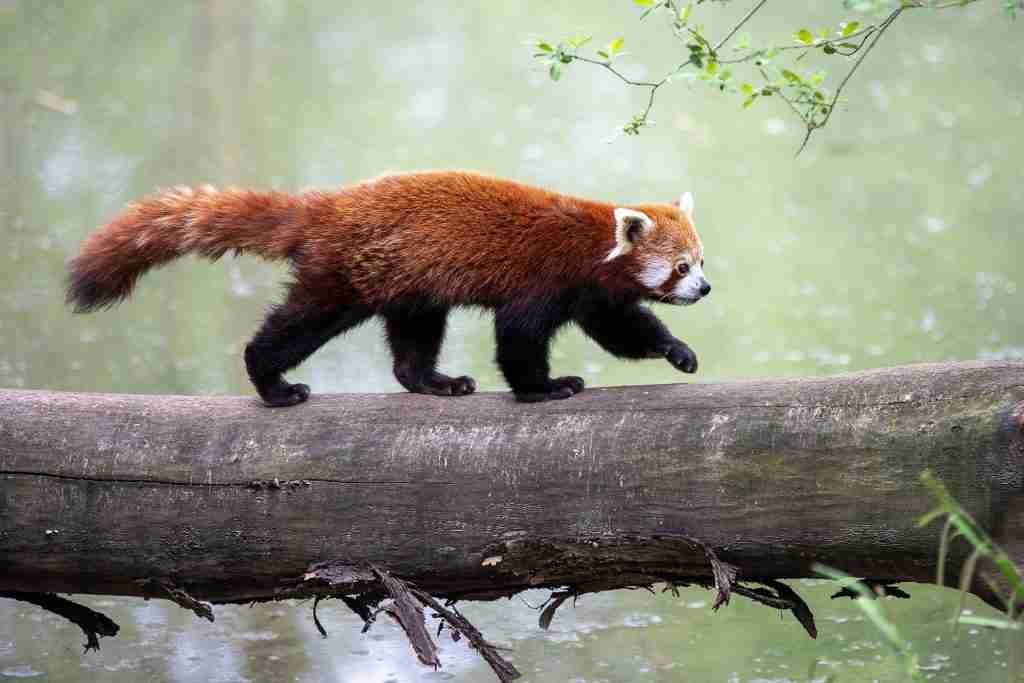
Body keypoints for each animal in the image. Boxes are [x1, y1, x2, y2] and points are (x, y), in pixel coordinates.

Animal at [64, 171, 708, 403]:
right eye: (681, 267)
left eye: (701, 260)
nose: (704, 290)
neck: (591, 245)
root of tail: (327, 206)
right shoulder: (543, 280)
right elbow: (518, 340)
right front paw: (544, 388)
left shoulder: (594, 295)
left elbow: (623, 330)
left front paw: (678, 351)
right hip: (342, 277)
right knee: (296, 326)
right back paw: (272, 381)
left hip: (409, 284)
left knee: (413, 341)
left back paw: (432, 381)